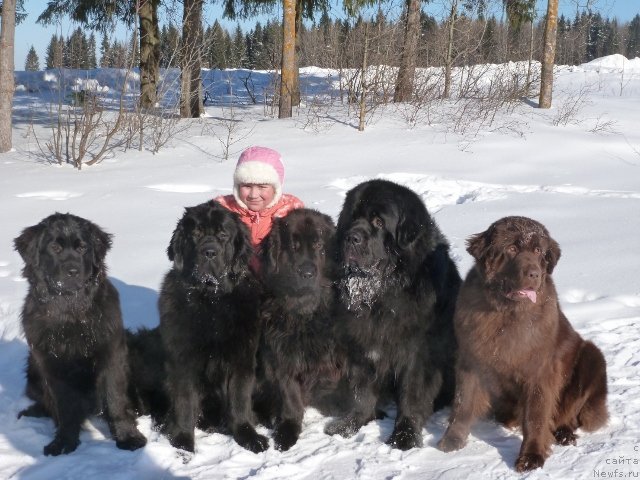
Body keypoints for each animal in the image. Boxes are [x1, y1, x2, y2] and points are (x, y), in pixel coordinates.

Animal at [13, 215, 146, 458]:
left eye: (83, 247)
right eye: (55, 248)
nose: (73, 270)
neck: (71, 312)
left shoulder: (112, 355)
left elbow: (115, 399)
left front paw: (128, 437)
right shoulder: (53, 365)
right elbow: (65, 407)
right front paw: (64, 442)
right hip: (33, 370)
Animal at [162, 200, 270, 454]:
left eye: (223, 235)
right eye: (196, 234)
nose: (209, 252)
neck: (212, 301)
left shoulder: (242, 358)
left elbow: (240, 399)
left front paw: (248, 435)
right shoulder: (182, 360)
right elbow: (184, 402)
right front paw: (183, 442)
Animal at [252, 209, 348, 450]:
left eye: (319, 245)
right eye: (293, 247)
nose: (306, 272)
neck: (305, 312)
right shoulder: (282, 356)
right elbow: (290, 397)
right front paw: (287, 430)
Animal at [324, 179, 460, 450]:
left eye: (378, 222)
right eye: (351, 218)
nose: (351, 237)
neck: (382, 295)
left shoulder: (419, 353)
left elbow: (411, 395)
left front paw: (404, 436)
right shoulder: (361, 346)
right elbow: (362, 392)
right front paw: (351, 423)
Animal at [438, 218, 608, 472]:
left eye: (538, 251)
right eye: (511, 249)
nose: (534, 274)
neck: (506, 314)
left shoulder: (540, 371)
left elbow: (535, 416)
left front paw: (531, 456)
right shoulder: (470, 360)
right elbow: (463, 403)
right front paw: (452, 440)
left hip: (592, 356)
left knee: (569, 413)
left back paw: (564, 434)